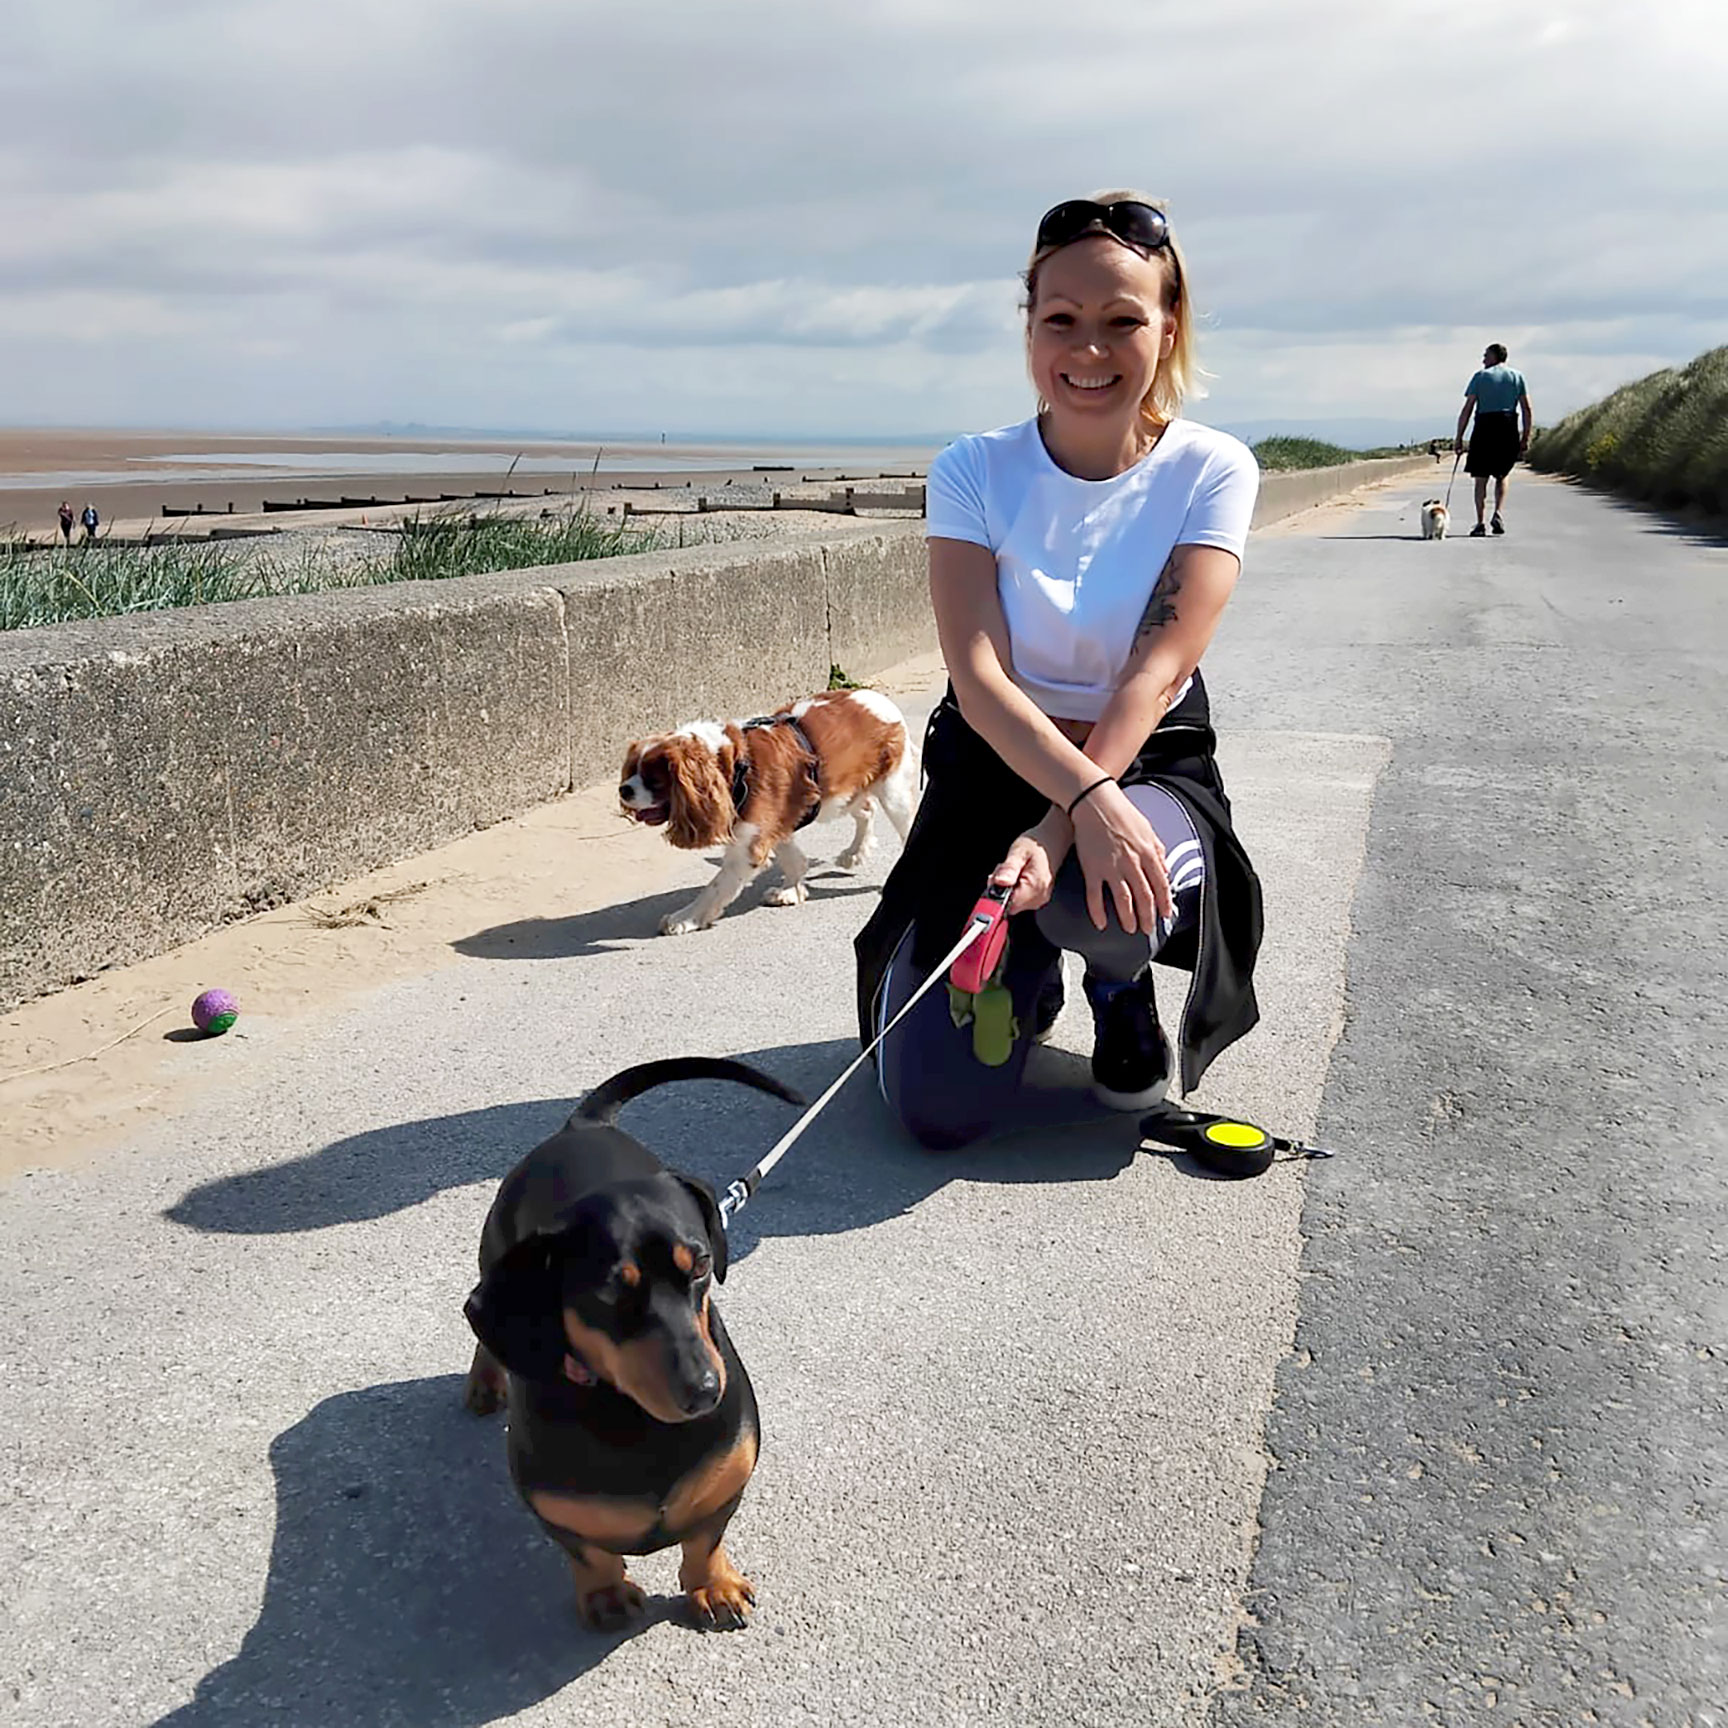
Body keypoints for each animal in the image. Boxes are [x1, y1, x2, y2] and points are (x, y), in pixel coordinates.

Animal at [622, 684, 919, 940]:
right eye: (632, 769)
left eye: (654, 780)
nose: (623, 790)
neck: (735, 764)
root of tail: (877, 699)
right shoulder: (775, 822)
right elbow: (793, 859)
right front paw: (790, 891)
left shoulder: (749, 846)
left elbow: (714, 888)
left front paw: (684, 918)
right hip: (842, 794)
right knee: (866, 810)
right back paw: (853, 854)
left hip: (892, 792)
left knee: (906, 825)